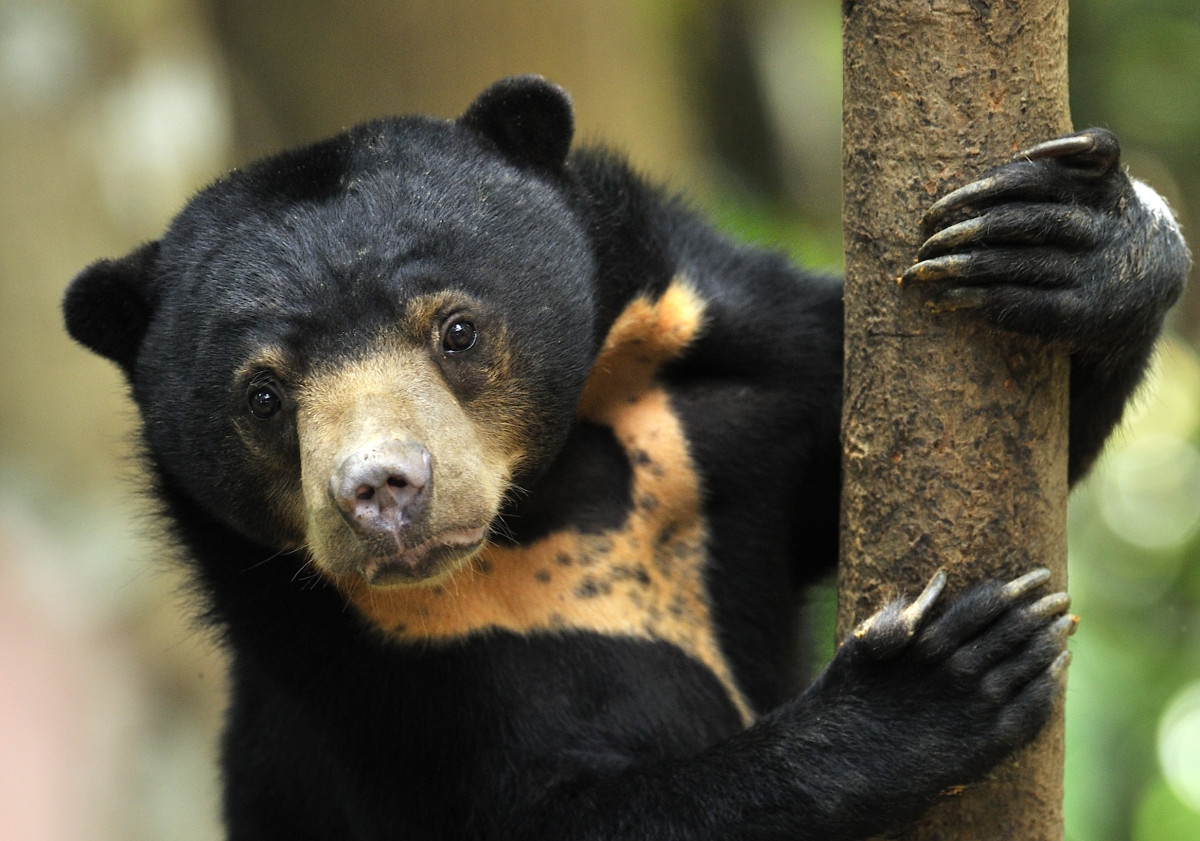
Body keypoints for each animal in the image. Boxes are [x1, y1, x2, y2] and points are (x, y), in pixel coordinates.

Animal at [63, 76, 1187, 840]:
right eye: (262, 396)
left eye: (457, 330)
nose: (380, 491)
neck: (553, 491)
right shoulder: (365, 669)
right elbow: (558, 810)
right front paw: (947, 674)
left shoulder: (731, 386)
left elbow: (843, 458)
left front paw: (1074, 240)